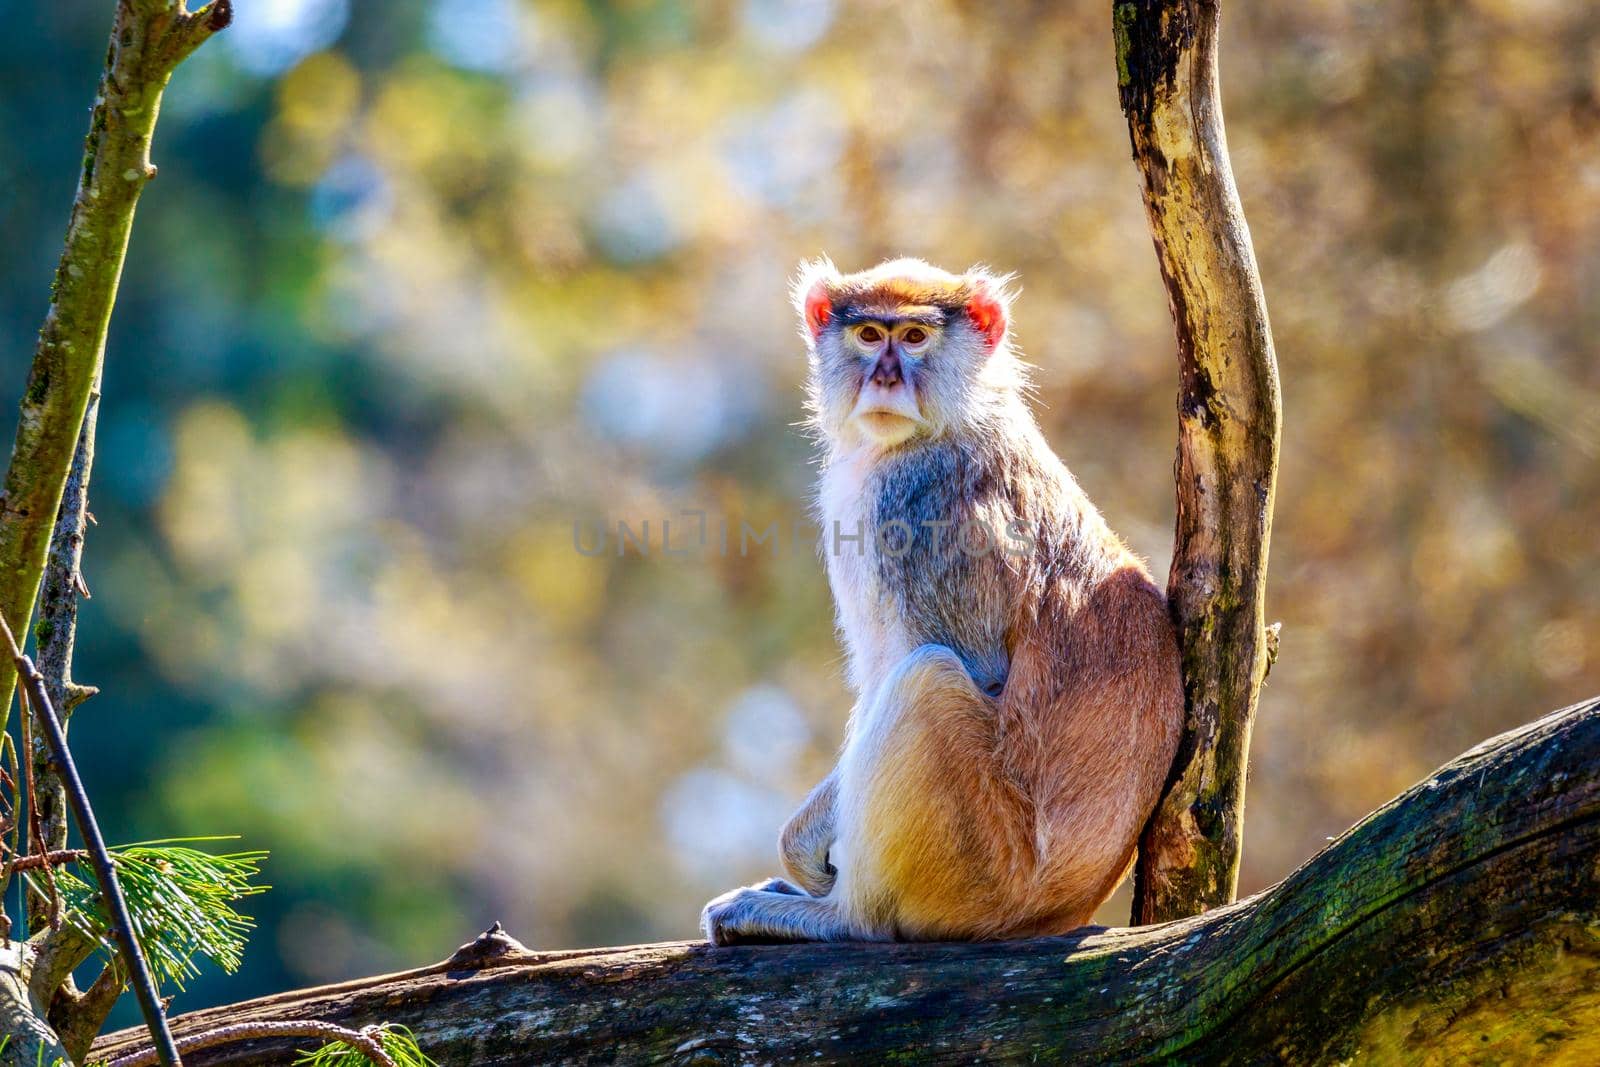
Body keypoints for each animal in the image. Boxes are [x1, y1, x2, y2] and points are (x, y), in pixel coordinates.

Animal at [704, 262, 1190, 947]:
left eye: (913, 337)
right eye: (869, 335)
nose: (885, 378)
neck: (959, 415)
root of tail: (1053, 914)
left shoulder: (916, 504)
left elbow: (971, 671)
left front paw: (804, 850)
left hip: (977, 872)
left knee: (926, 680)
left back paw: (843, 919)